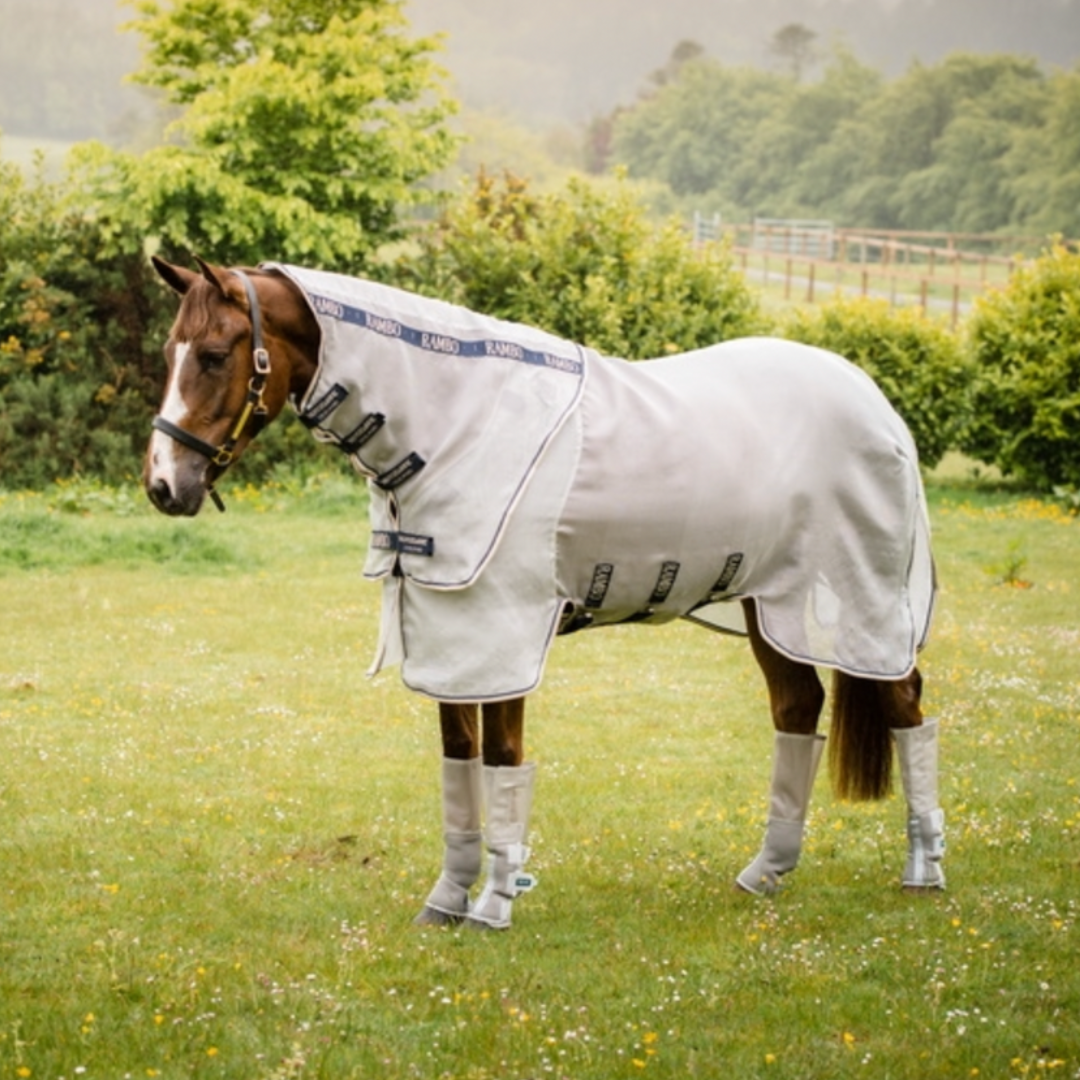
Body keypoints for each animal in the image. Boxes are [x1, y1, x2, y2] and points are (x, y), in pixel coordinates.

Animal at [143, 256, 946, 930]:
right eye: (170, 354)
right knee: (798, 708)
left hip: (868, 596)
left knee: (905, 705)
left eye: (214, 355)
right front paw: (447, 901)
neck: (456, 424)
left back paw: (923, 873)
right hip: (768, 605)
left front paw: (494, 907)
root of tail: (874, 401)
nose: (163, 485)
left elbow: (503, 760)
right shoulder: (452, 638)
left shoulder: (505, 635)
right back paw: (766, 873)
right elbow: (459, 760)